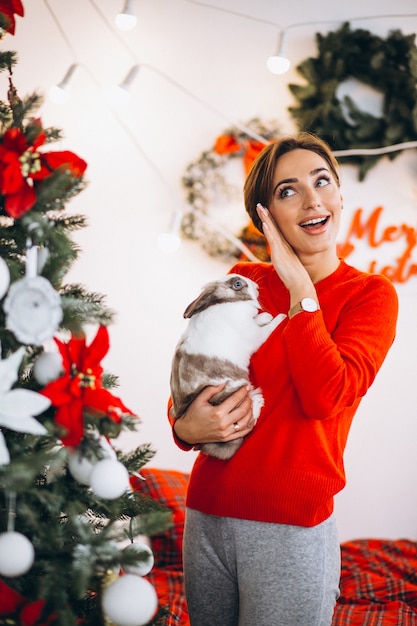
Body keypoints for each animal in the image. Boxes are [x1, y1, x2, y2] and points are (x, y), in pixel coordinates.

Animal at [169, 272, 286, 458]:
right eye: (238, 284)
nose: (256, 286)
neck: (229, 302)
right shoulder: (255, 336)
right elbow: (269, 328)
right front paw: (281, 317)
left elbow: (258, 320)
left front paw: (264, 317)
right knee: (250, 419)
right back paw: (258, 400)